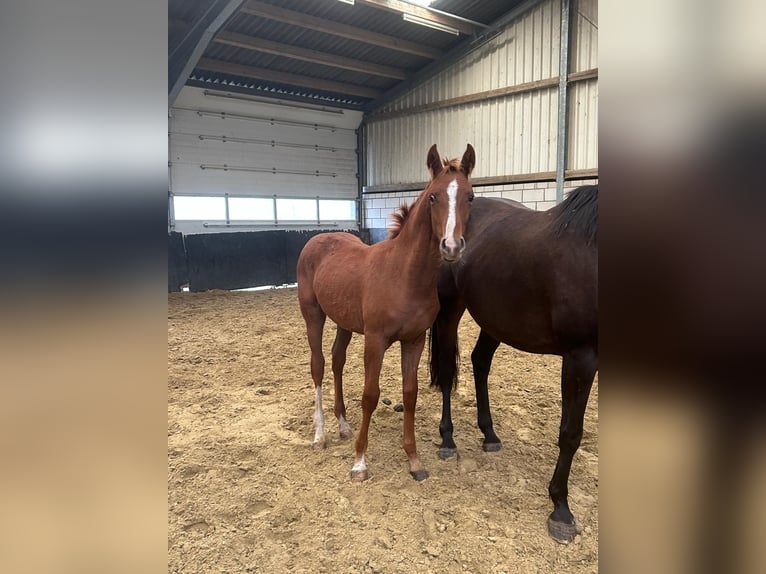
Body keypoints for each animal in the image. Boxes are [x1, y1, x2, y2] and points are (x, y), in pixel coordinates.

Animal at [296, 143, 476, 482]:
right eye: (433, 196)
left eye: (470, 196)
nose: (451, 247)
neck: (404, 275)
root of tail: (318, 238)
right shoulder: (375, 340)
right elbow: (370, 395)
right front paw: (359, 463)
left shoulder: (414, 340)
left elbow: (410, 393)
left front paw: (414, 461)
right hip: (313, 314)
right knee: (319, 365)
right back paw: (320, 435)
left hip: (344, 322)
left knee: (337, 360)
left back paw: (343, 426)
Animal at [432, 188, 600, 544]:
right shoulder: (580, 357)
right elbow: (571, 433)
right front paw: (560, 509)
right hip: (450, 308)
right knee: (448, 368)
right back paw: (448, 440)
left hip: (495, 318)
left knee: (480, 361)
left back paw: (489, 434)